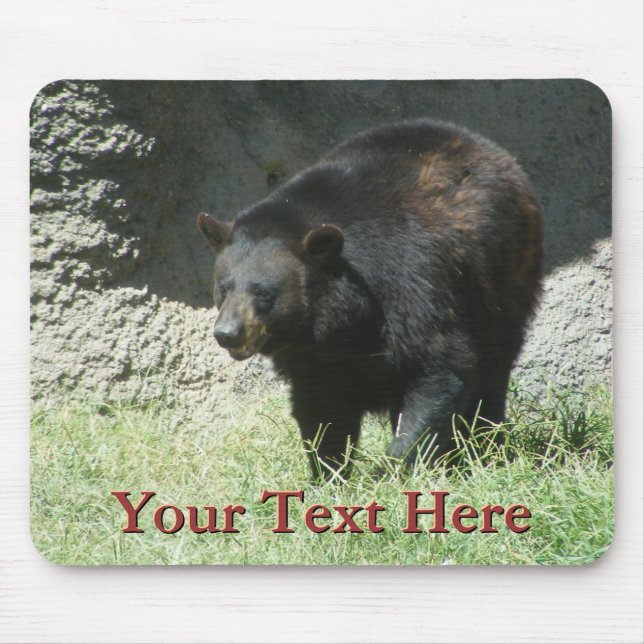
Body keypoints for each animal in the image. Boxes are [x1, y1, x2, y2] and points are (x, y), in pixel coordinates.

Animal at [197, 119, 542, 479]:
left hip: (505, 277)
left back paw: (484, 445)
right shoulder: (314, 355)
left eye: (263, 292)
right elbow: (322, 407)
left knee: (494, 365)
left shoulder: (413, 282)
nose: (227, 333)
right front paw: (329, 473)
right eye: (224, 287)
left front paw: (397, 466)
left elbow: (439, 364)